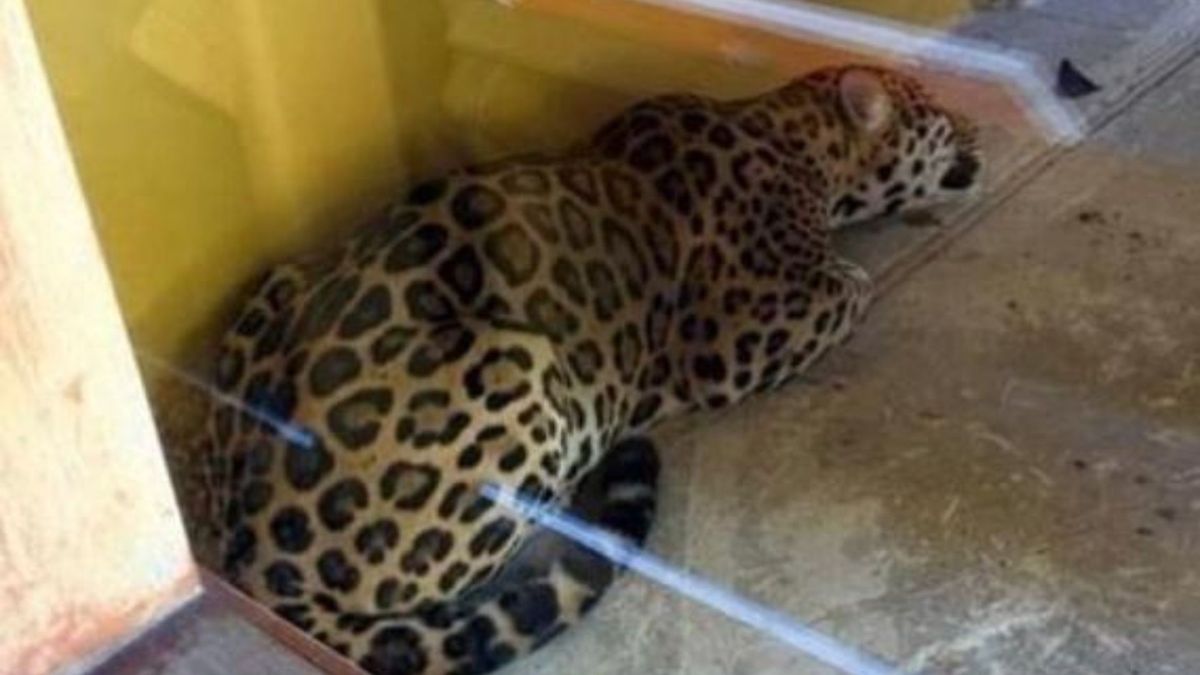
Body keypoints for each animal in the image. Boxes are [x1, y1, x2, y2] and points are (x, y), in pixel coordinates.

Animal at [201, 64, 983, 675]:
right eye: (940, 114)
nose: (979, 125)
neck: (794, 136)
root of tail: (252, 559)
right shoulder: (740, 336)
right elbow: (852, 286)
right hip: (523, 366)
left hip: (278, 281)